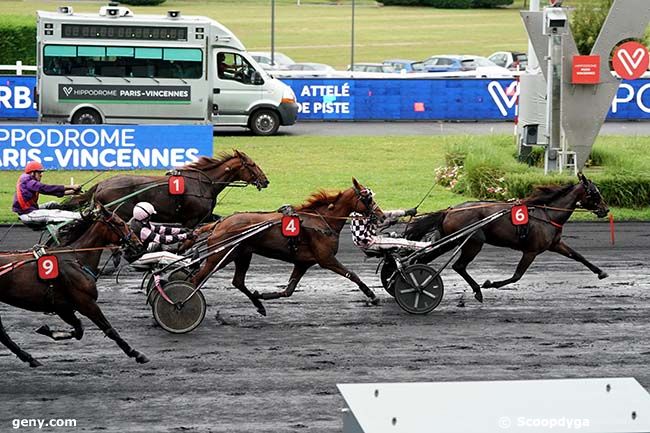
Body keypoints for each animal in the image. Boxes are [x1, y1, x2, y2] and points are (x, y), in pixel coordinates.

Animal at [0, 204, 146, 366]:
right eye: (120, 223)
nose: (139, 245)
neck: (76, 259)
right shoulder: (85, 302)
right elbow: (108, 329)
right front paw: (136, 353)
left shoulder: (63, 307)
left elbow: (79, 330)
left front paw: (48, 330)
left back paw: (30, 358)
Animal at [190, 177, 384, 316]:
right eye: (368, 198)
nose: (382, 215)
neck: (322, 222)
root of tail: (219, 224)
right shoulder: (326, 259)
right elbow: (352, 275)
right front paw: (372, 296)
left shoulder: (303, 263)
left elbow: (288, 291)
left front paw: (262, 295)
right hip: (219, 256)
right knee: (196, 279)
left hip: (242, 254)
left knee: (237, 281)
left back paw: (259, 304)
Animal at [404, 174, 608, 302]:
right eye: (595, 193)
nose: (606, 210)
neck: (548, 214)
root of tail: (450, 210)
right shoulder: (531, 251)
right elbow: (517, 276)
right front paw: (490, 283)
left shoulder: (555, 244)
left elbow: (578, 256)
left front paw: (601, 272)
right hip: (473, 242)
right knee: (458, 266)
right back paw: (476, 290)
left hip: (453, 240)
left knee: (427, 258)